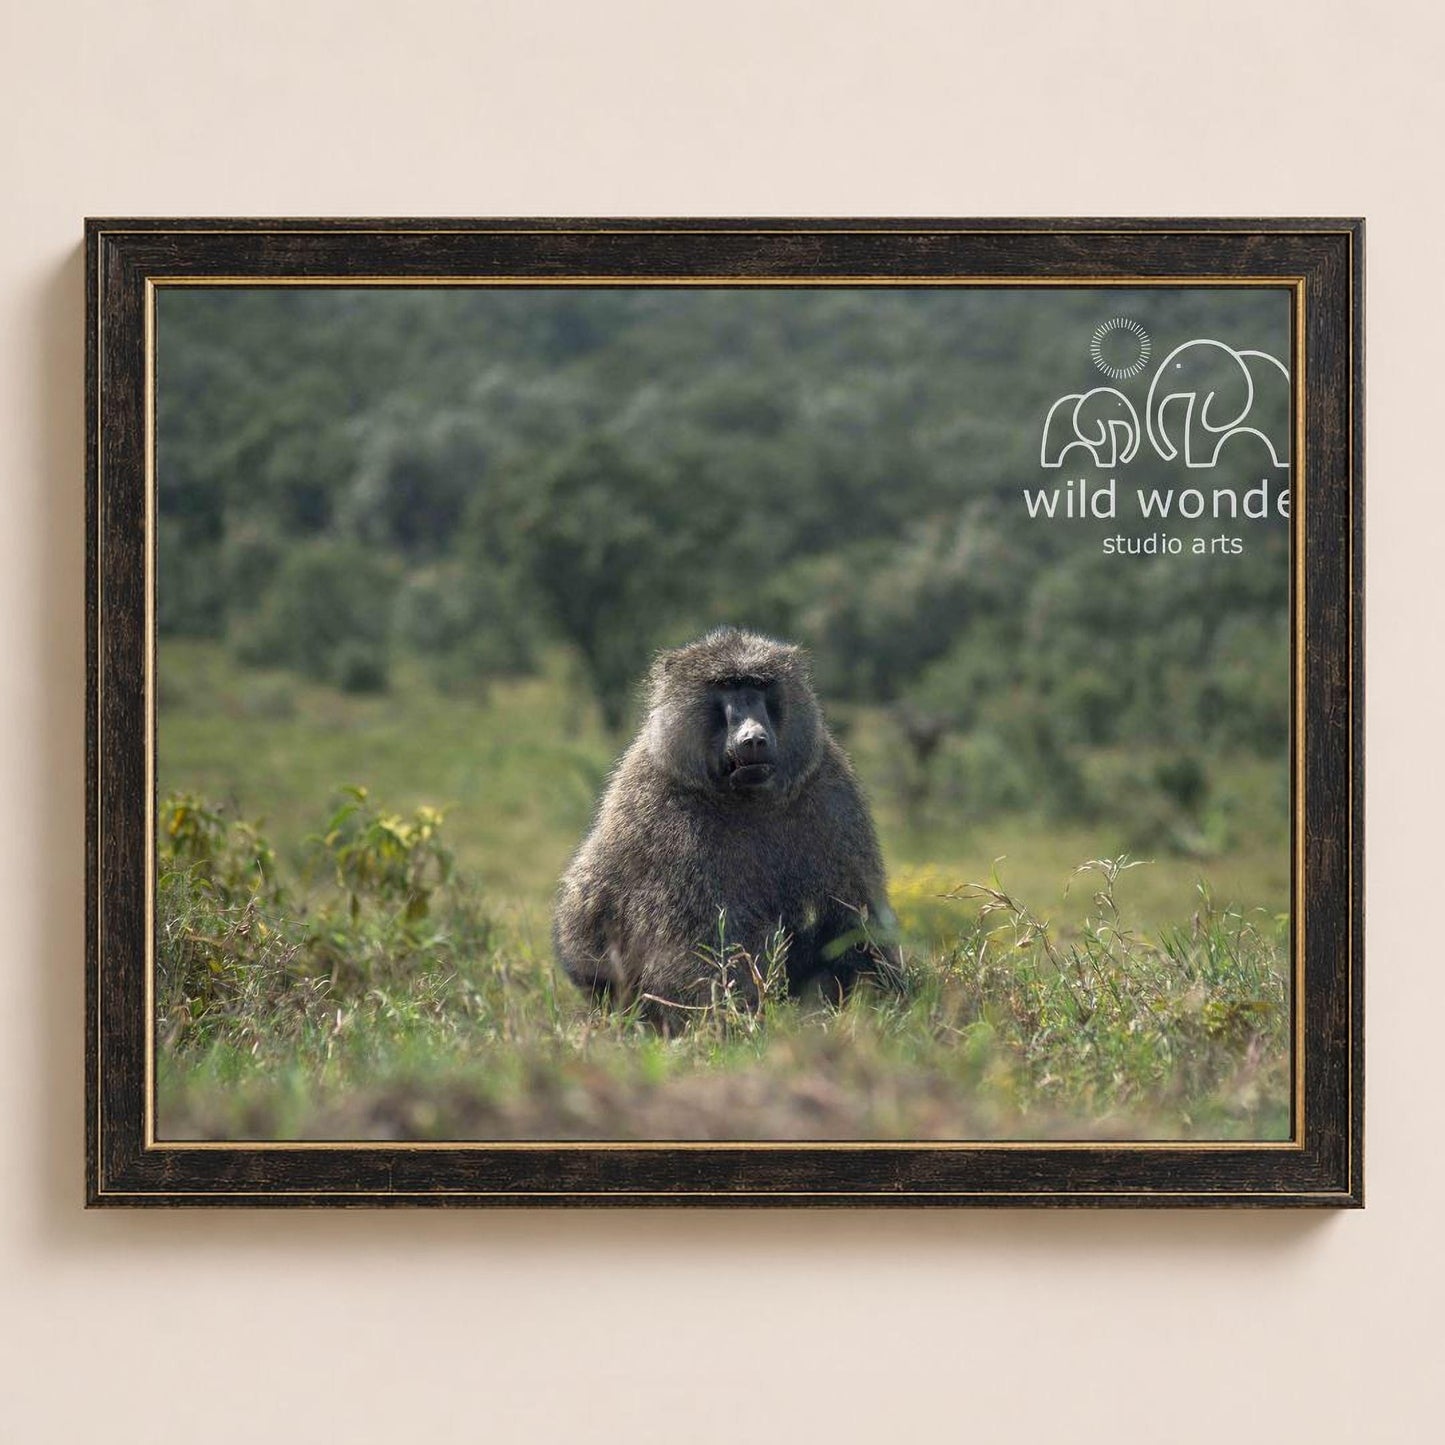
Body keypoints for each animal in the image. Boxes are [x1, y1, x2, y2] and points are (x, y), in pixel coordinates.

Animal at [553, 627, 903, 1025]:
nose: (753, 738)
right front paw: (743, 1021)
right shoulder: (665, 817)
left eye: (760, 685)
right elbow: (698, 945)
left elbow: (854, 923)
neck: (745, 798)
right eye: (727, 686)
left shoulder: (831, 793)